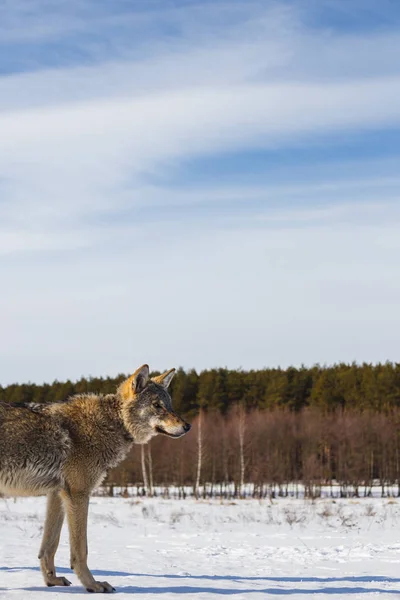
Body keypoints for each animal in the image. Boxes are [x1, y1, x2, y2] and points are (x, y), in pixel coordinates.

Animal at [0, 366, 191, 592]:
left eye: (169, 405)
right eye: (157, 405)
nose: (187, 426)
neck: (109, 423)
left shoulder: (56, 494)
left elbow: (49, 546)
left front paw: (52, 581)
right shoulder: (78, 494)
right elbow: (80, 550)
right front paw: (92, 585)